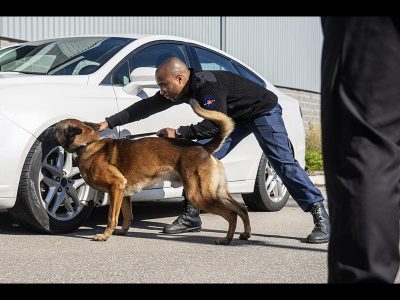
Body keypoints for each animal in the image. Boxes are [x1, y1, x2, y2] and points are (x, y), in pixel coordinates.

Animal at [54, 99, 250, 245]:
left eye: (55, 128)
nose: (49, 129)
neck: (88, 144)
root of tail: (203, 148)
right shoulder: (123, 193)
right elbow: (126, 215)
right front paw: (123, 231)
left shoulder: (116, 187)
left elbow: (112, 217)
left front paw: (105, 235)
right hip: (218, 192)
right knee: (241, 208)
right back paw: (245, 234)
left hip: (199, 195)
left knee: (231, 214)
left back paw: (226, 239)